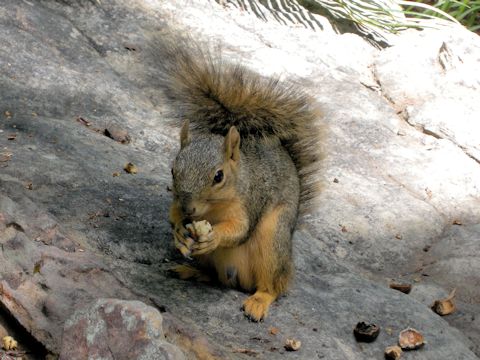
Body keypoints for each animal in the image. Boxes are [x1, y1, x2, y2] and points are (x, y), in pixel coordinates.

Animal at [158, 38, 322, 322]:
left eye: (218, 176)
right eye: (173, 170)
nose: (188, 209)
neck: (212, 210)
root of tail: (239, 281)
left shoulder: (251, 200)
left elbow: (240, 230)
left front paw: (214, 236)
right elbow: (172, 213)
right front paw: (178, 229)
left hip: (272, 241)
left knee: (273, 285)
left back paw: (259, 301)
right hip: (210, 261)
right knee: (213, 277)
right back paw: (190, 271)